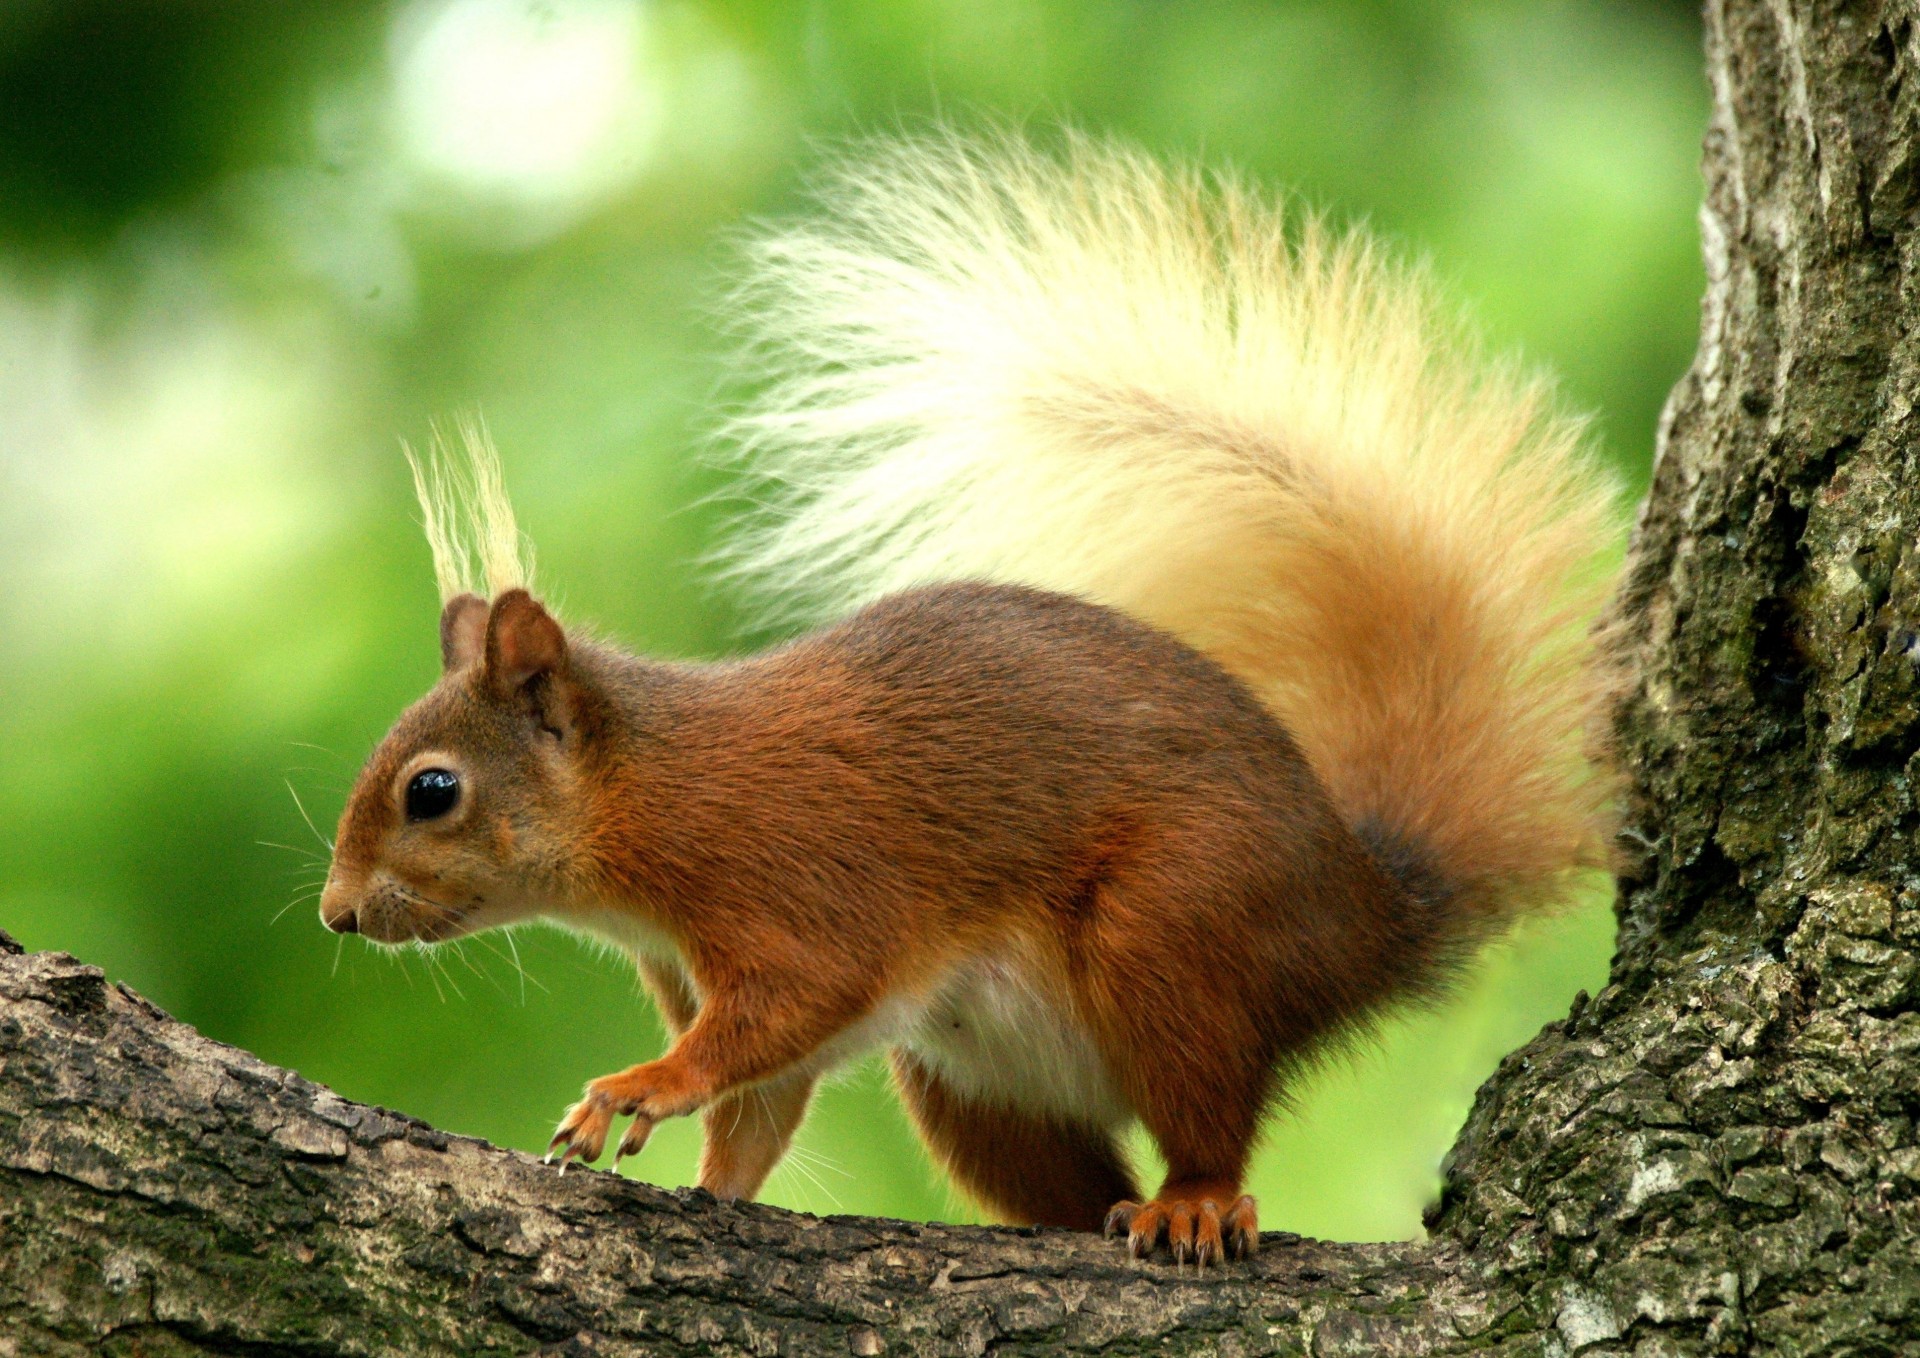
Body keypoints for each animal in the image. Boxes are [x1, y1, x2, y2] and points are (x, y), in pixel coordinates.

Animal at [318, 132, 1620, 1267]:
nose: (337, 914)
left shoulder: (793, 883)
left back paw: (1197, 1200)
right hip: (968, 1076)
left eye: (432, 790)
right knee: (1081, 1180)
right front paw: (711, 1185)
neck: (654, 795)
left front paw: (639, 1087)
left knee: (1208, 1116)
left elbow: (770, 1020)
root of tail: (1366, 911)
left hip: (1176, 926)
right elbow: (761, 1106)